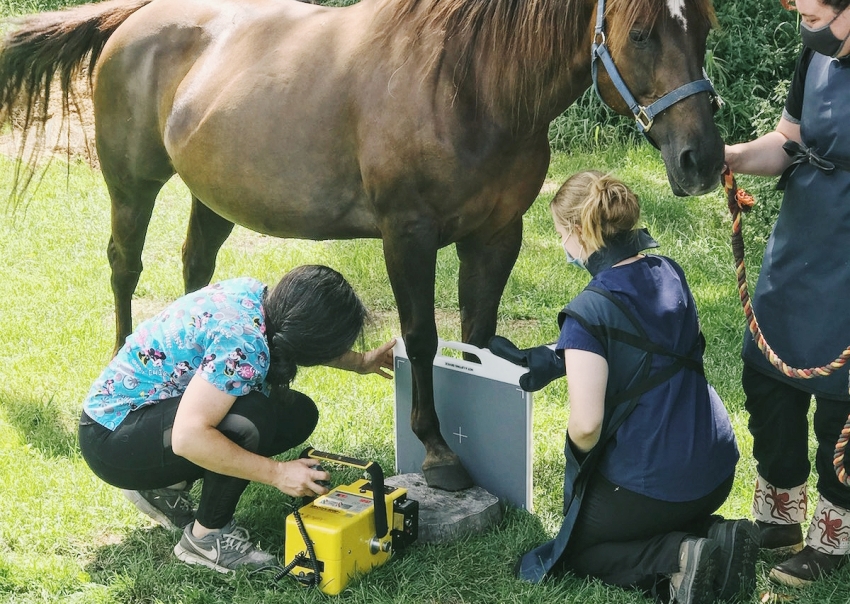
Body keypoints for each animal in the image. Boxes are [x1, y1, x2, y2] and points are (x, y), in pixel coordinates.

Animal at [0, 0, 724, 490]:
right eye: (641, 32)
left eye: (705, 27)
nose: (703, 160)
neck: (466, 84)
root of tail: (135, 18)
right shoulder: (407, 236)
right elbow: (423, 337)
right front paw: (437, 451)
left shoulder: (496, 234)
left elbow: (477, 332)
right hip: (133, 184)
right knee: (125, 266)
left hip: (212, 196)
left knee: (195, 264)